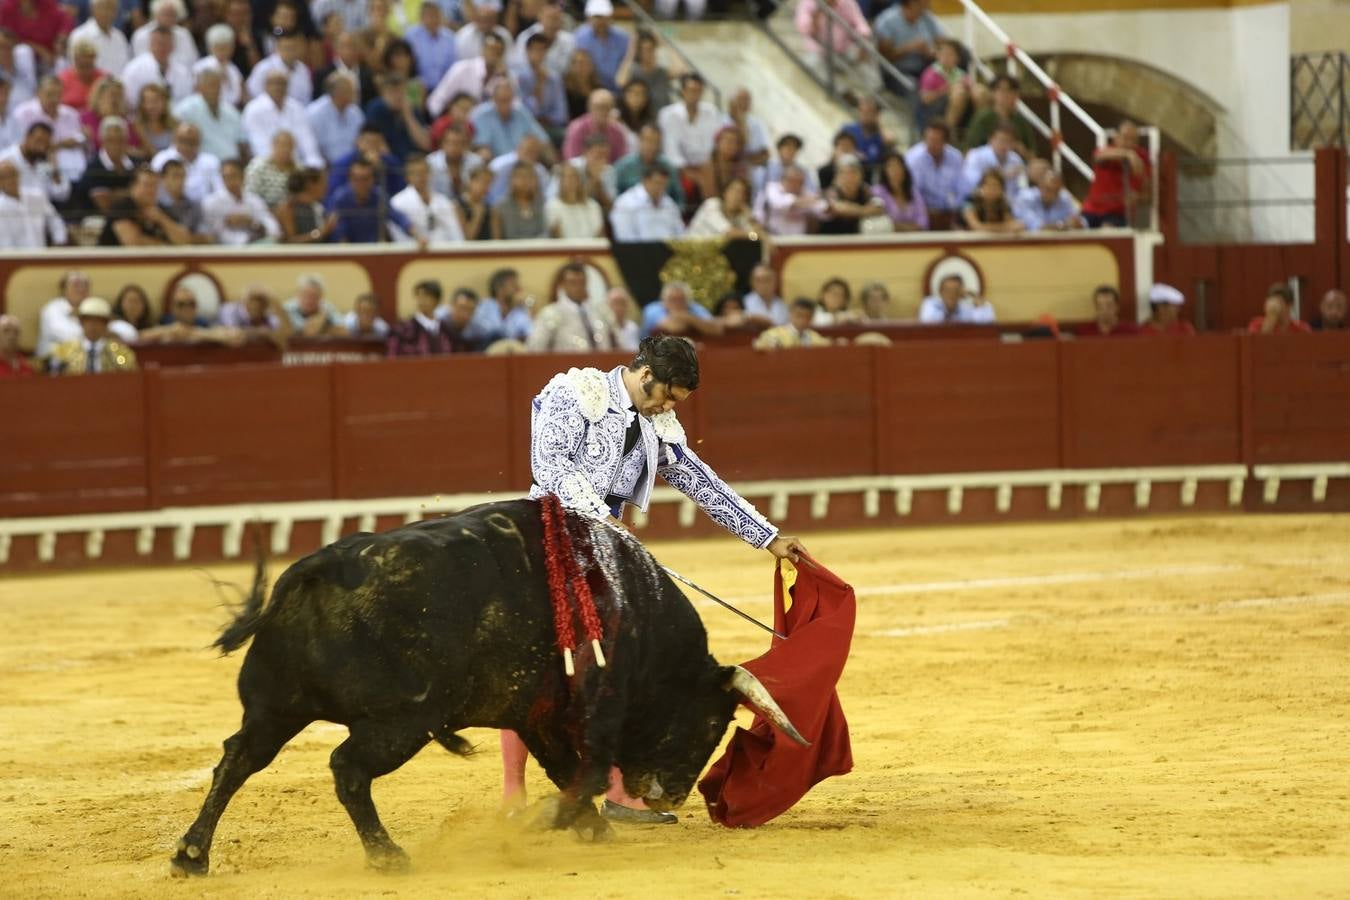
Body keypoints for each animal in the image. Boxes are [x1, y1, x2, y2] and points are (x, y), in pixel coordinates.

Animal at [168, 496, 799, 874]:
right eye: (712, 723)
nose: (670, 796)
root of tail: (320, 568)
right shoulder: (598, 704)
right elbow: (588, 771)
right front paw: (555, 821)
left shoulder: (536, 713)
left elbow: (566, 770)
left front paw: (588, 826)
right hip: (402, 722)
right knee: (346, 768)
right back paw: (388, 855)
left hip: (276, 707)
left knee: (238, 758)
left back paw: (192, 854)